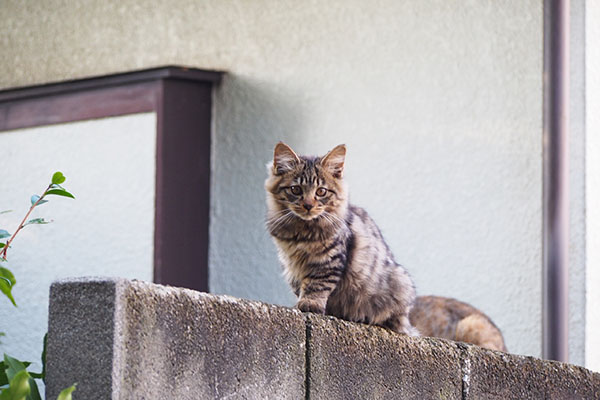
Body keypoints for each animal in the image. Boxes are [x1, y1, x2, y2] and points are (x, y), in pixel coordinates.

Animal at [264, 142, 420, 336]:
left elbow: (317, 285)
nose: (308, 205)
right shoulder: (290, 264)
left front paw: (310, 304)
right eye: (296, 189)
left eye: (321, 192)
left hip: (400, 284)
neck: (302, 231)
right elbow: (301, 286)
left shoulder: (329, 259)